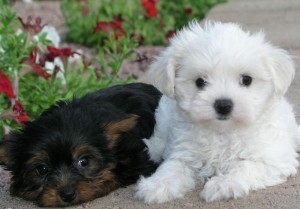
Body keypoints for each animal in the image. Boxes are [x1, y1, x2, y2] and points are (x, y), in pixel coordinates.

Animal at [136, 20, 300, 202]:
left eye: (246, 79)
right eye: (200, 82)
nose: (223, 105)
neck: (222, 132)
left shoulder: (273, 159)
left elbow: (246, 166)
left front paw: (224, 184)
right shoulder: (184, 151)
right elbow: (173, 166)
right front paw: (158, 184)